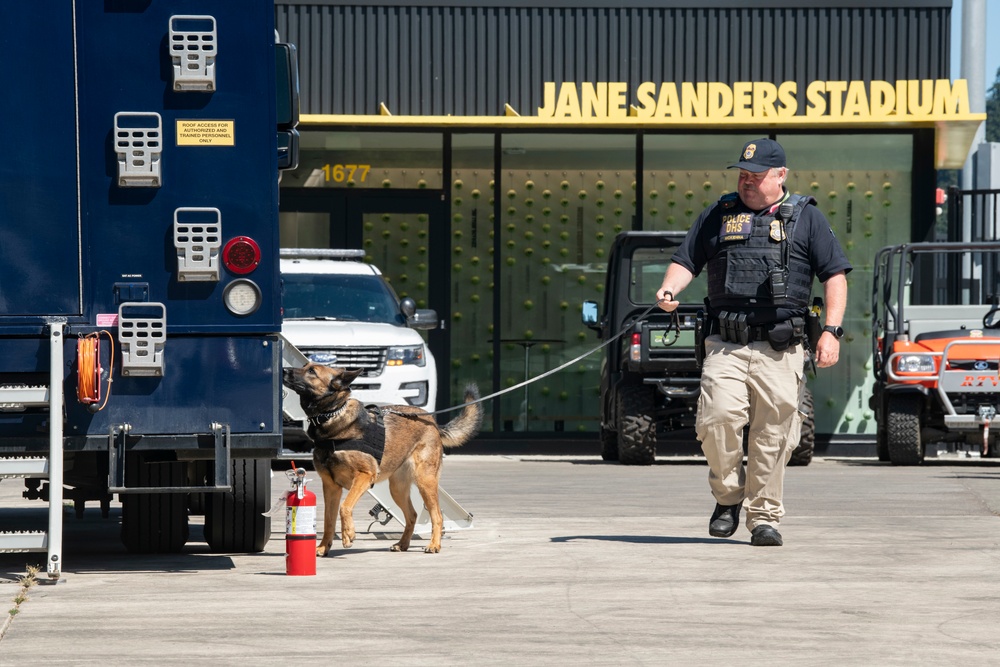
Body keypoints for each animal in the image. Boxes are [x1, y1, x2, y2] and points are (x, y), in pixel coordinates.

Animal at [282, 362, 484, 556]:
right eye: (305, 367)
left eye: (312, 371)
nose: (284, 370)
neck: (333, 415)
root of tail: (433, 423)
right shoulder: (331, 487)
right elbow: (328, 520)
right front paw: (324, 547)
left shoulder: (364, 476)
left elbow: (345, 507)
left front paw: (348, 534)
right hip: (397, 489)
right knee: (411, 515)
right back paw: (403, 544)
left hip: (424, 481)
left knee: (437, 516)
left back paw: (434, 545)